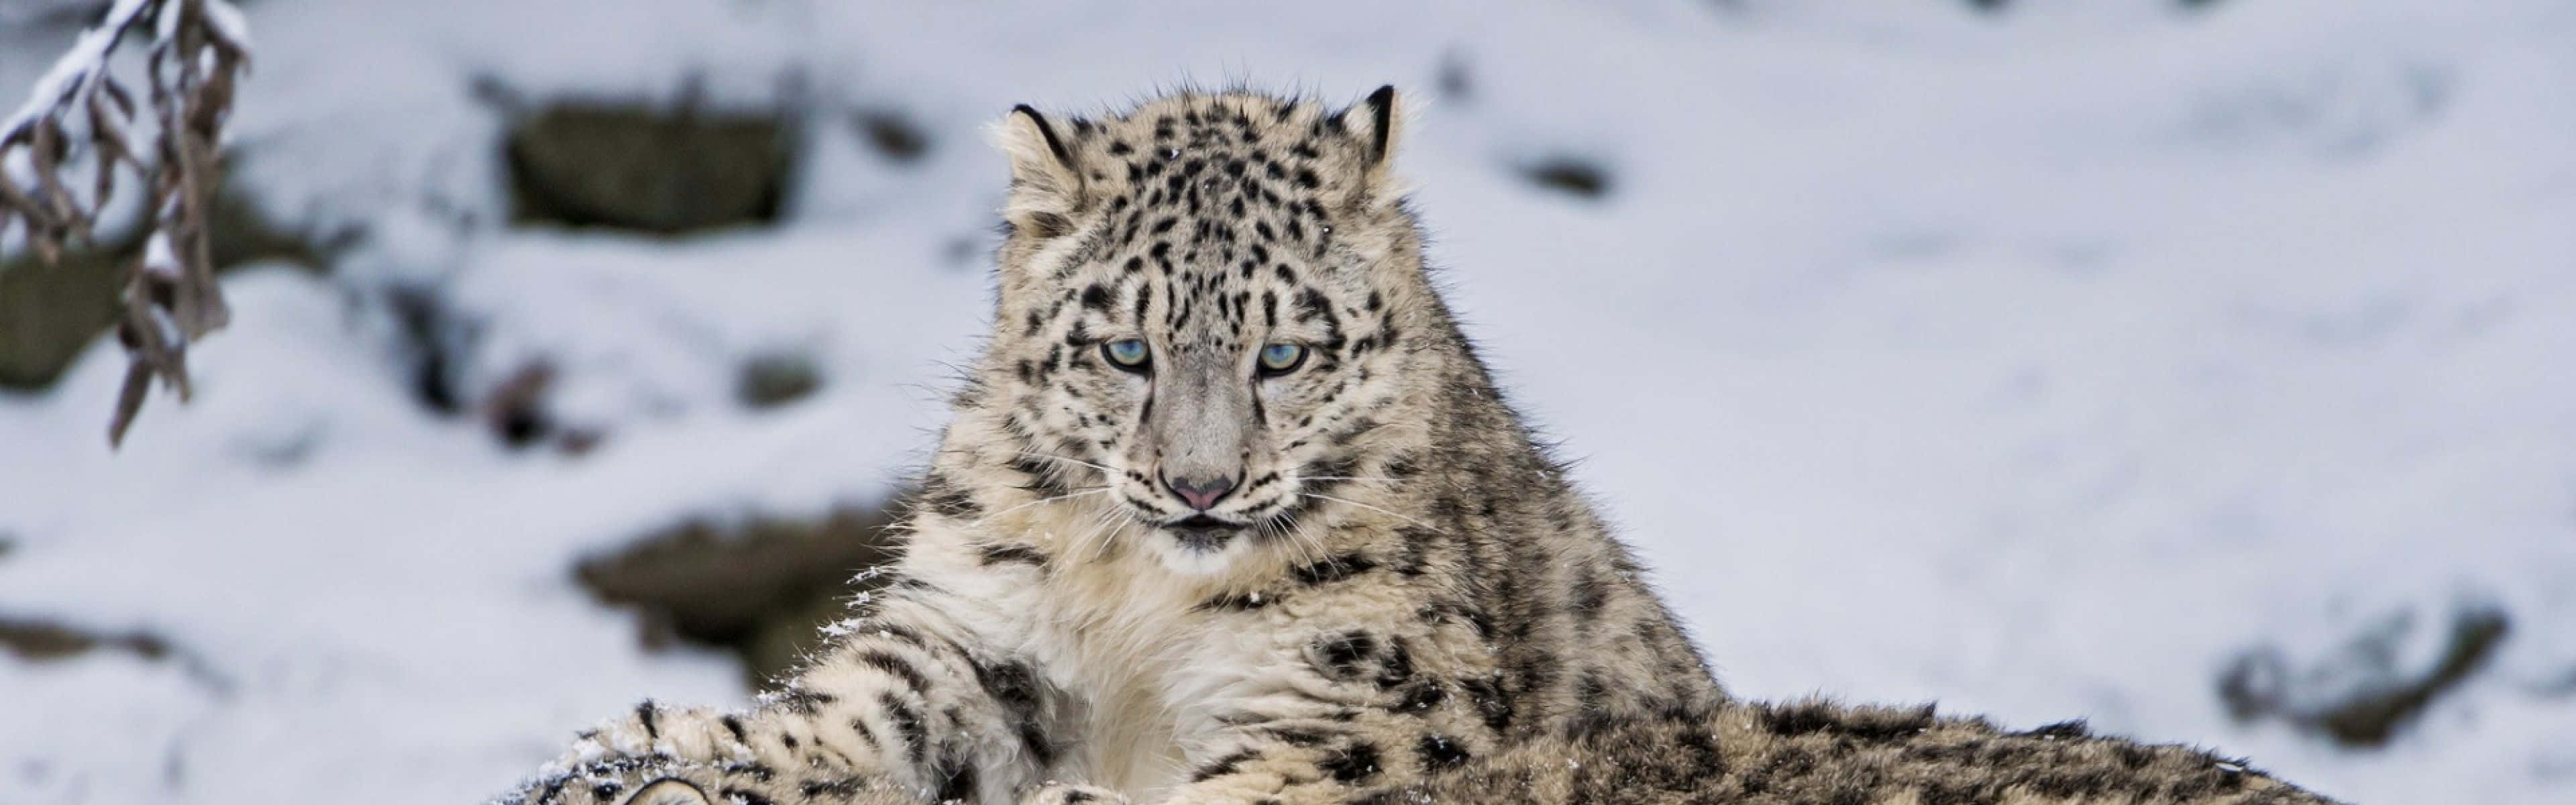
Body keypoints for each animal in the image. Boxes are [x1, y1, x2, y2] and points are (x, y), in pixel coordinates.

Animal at [495, 86, 2339, 805]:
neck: (1138, 606)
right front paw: (659, 743)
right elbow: (859, 714)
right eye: (1123, 343)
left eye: (1284, 347)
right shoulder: (982, 631)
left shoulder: (1356, 712)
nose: (1199, 483)